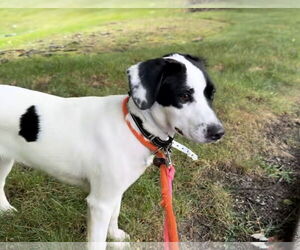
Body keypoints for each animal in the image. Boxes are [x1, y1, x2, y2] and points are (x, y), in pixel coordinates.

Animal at [0, 52, 225, 242]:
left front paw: (115, 235)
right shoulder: (99, 203)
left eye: (211, 94)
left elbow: (114, 215)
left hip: (4, 161)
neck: (134, 124)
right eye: (183, 96)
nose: (218, 132)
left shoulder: (114, 192)